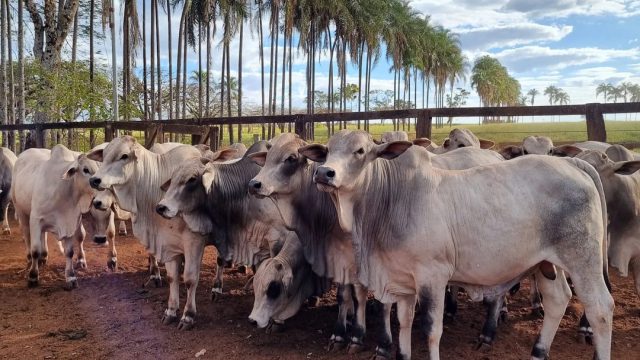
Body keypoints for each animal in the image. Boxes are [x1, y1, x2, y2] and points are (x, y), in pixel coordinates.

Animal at [86, 136, 206, 330]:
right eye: (104, 155)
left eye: (124, 156)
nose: (94, 180)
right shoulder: (166, 241)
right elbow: (172, 277)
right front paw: (171, 311)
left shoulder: (195, 241)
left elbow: (190, 279)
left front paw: (188, 316)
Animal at [304, 129, 616, 360]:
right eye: (328, 150)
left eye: (360, 151)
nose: (324, 173)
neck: (391, 197)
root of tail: (573, 164)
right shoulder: (401, 280)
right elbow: (403, 321)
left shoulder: (433, 276)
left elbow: (430, 328)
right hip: (545, 263)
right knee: (557, 300)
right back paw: (538, 352)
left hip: (582, 259)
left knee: (600, 309)